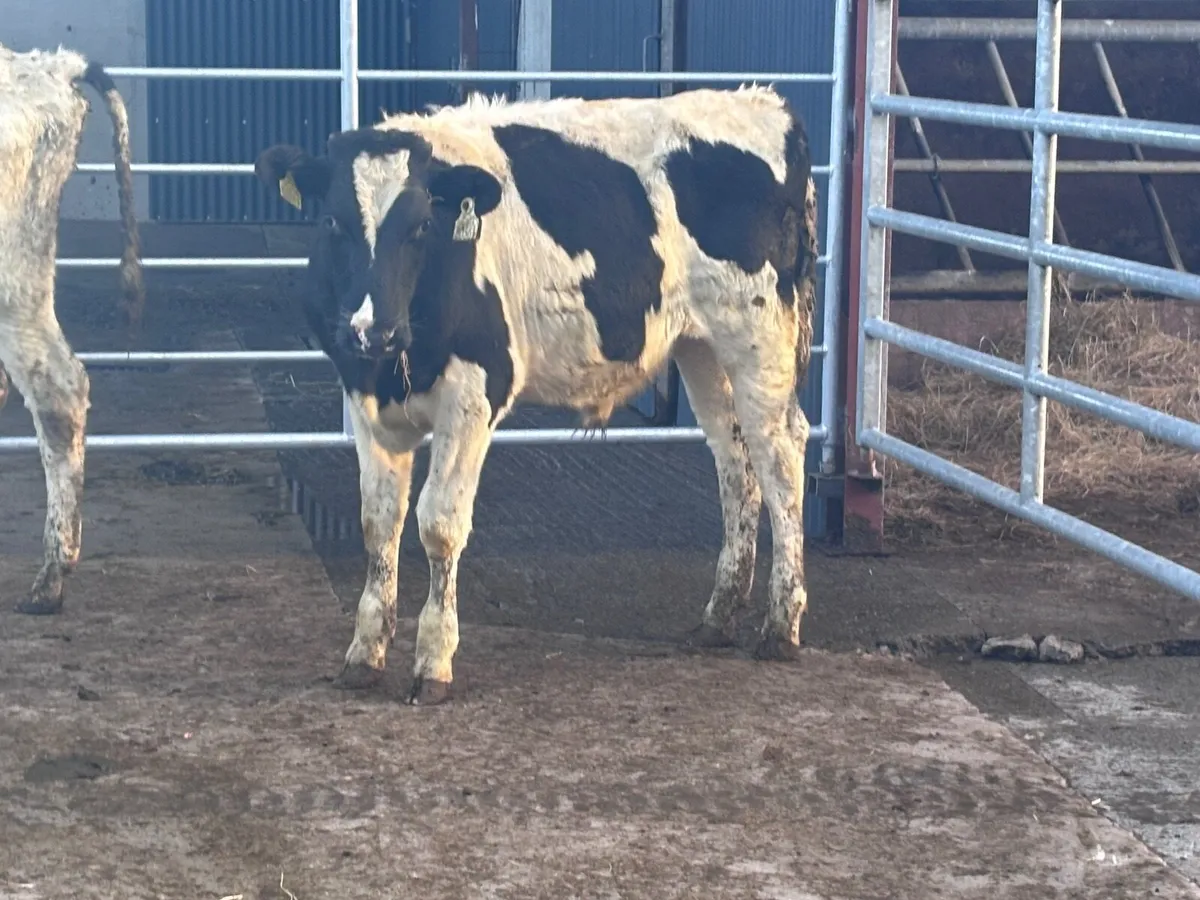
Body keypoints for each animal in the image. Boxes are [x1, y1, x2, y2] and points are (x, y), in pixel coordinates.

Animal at [254, 86, 818, 704]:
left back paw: (781, 626)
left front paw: (434, 661)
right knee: (735, 462)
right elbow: (379, 522)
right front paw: (364, 653)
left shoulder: (474, 395)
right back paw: (718, 617)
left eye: (422, 224)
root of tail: (761, 102)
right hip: (702, 349)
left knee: (780, 457)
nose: (372, 331)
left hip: (758, 337)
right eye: (333, 220)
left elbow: (439, 524)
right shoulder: (365, 401)